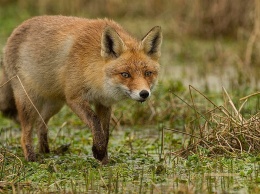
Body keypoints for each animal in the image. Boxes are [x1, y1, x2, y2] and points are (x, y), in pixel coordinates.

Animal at [0, 15, 162, 164]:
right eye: (125, 74)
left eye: (148, 73)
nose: (144, 93)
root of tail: (16, 29)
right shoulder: (74, 98)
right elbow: (95, 121)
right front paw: (98, 151)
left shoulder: (103, 103)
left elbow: (105, 132)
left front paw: (104, 160)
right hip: (29, 102)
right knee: (25, 134)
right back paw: (32, 159)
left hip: (55, 104)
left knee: (41, 125)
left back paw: (46, 153)